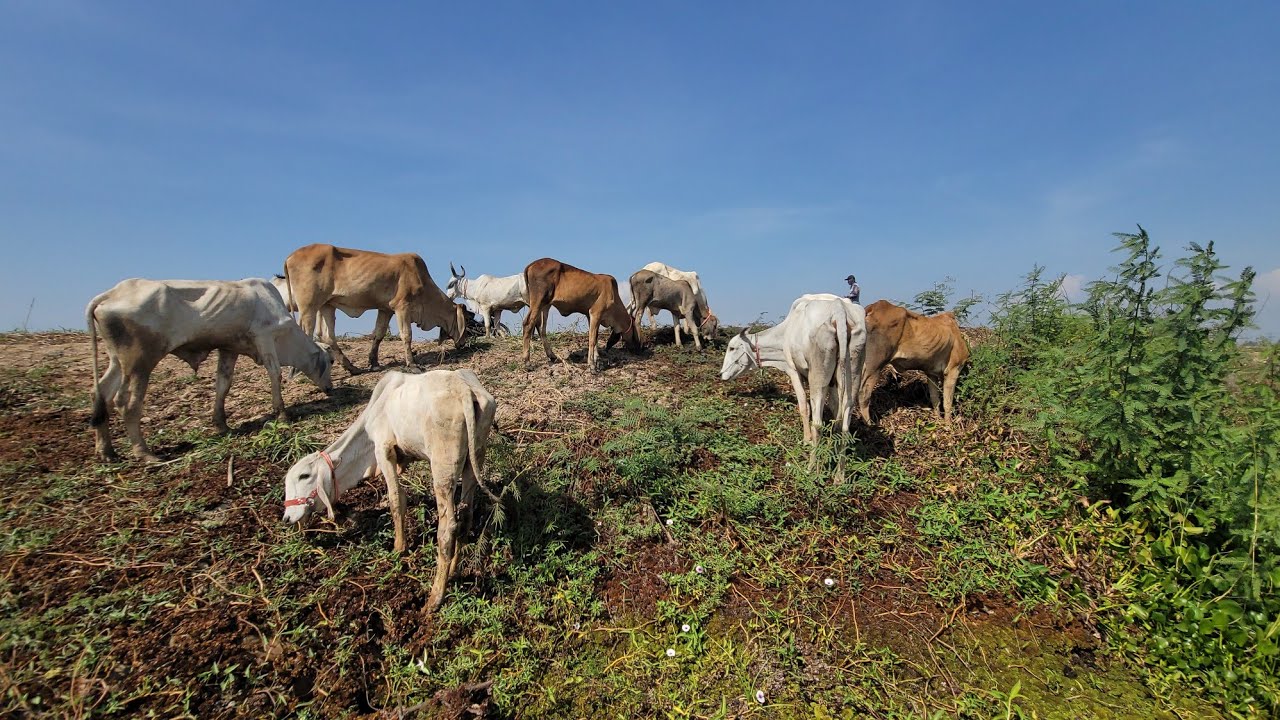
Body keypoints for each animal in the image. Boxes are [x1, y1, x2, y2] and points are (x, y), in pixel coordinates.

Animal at [86, 278, 333, 463]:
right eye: (330, 361)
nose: (330, 388)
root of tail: (110, 295)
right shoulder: (264, 338)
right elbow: (275, 374)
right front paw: (282, 414)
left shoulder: (229, 349)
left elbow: (223, 384)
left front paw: (221, 425)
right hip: (140, 362)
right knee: (125, 403)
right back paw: (144, 452)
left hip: (118, 361)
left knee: (101, 395)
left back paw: (106, 452)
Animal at [281, 368, 497, 611]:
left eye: (304, 476)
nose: (287, 517)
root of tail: (464, 390)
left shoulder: (383, 451)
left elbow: (396, 500)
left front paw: (399, 547)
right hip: (474, 457)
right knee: (466, 513)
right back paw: (453, 571)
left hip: (443, 467)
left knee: (448, 527)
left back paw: (434, 598)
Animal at [282, 244, 469, 374]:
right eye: (468, 319)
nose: (463, 344)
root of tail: (289, 257)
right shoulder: (402, 307)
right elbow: (406, 335)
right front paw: (412, 364)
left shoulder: (386, 309)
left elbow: (379, 334)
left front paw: (374, 363)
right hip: (309, 307)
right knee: (307, 333)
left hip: (327, 305)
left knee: (327, 335)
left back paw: (352, 368)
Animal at [719, 294, 866, 445]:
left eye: (732, 348)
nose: (722, 374)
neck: (784, 333)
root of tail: (839, 308)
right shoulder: (832, 383)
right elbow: (834, 408)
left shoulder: (793, 371)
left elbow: (804, 406)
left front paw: (806, 439)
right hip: (853, 370)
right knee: (845, 424)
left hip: (817, 374)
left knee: (818, 422)